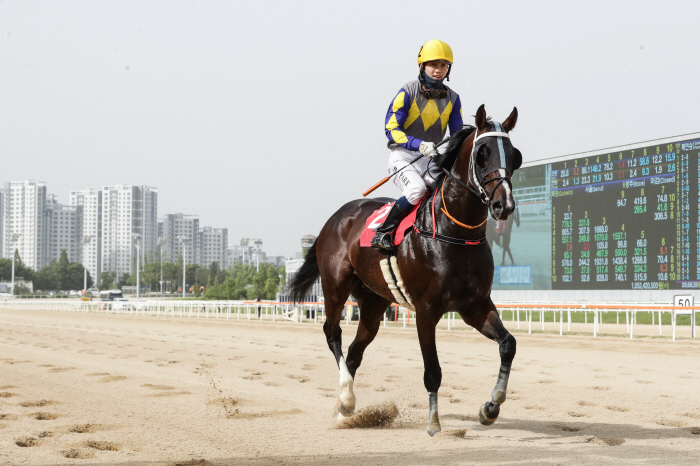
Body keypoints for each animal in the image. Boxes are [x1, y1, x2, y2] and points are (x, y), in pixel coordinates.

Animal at [288, 104, 520, 436]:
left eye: (514, 155)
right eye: (483, 153)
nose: (504, 205)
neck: (455, 233)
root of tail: (334, 219)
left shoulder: (475, 306)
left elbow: (508, 345)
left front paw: (490, 408)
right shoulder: (426, 310)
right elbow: (432, 371)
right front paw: (434, 423)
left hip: (373, 302)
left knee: (356, 351)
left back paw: (347, 411)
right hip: (334, 287)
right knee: (333, 334)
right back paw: (345, 396)